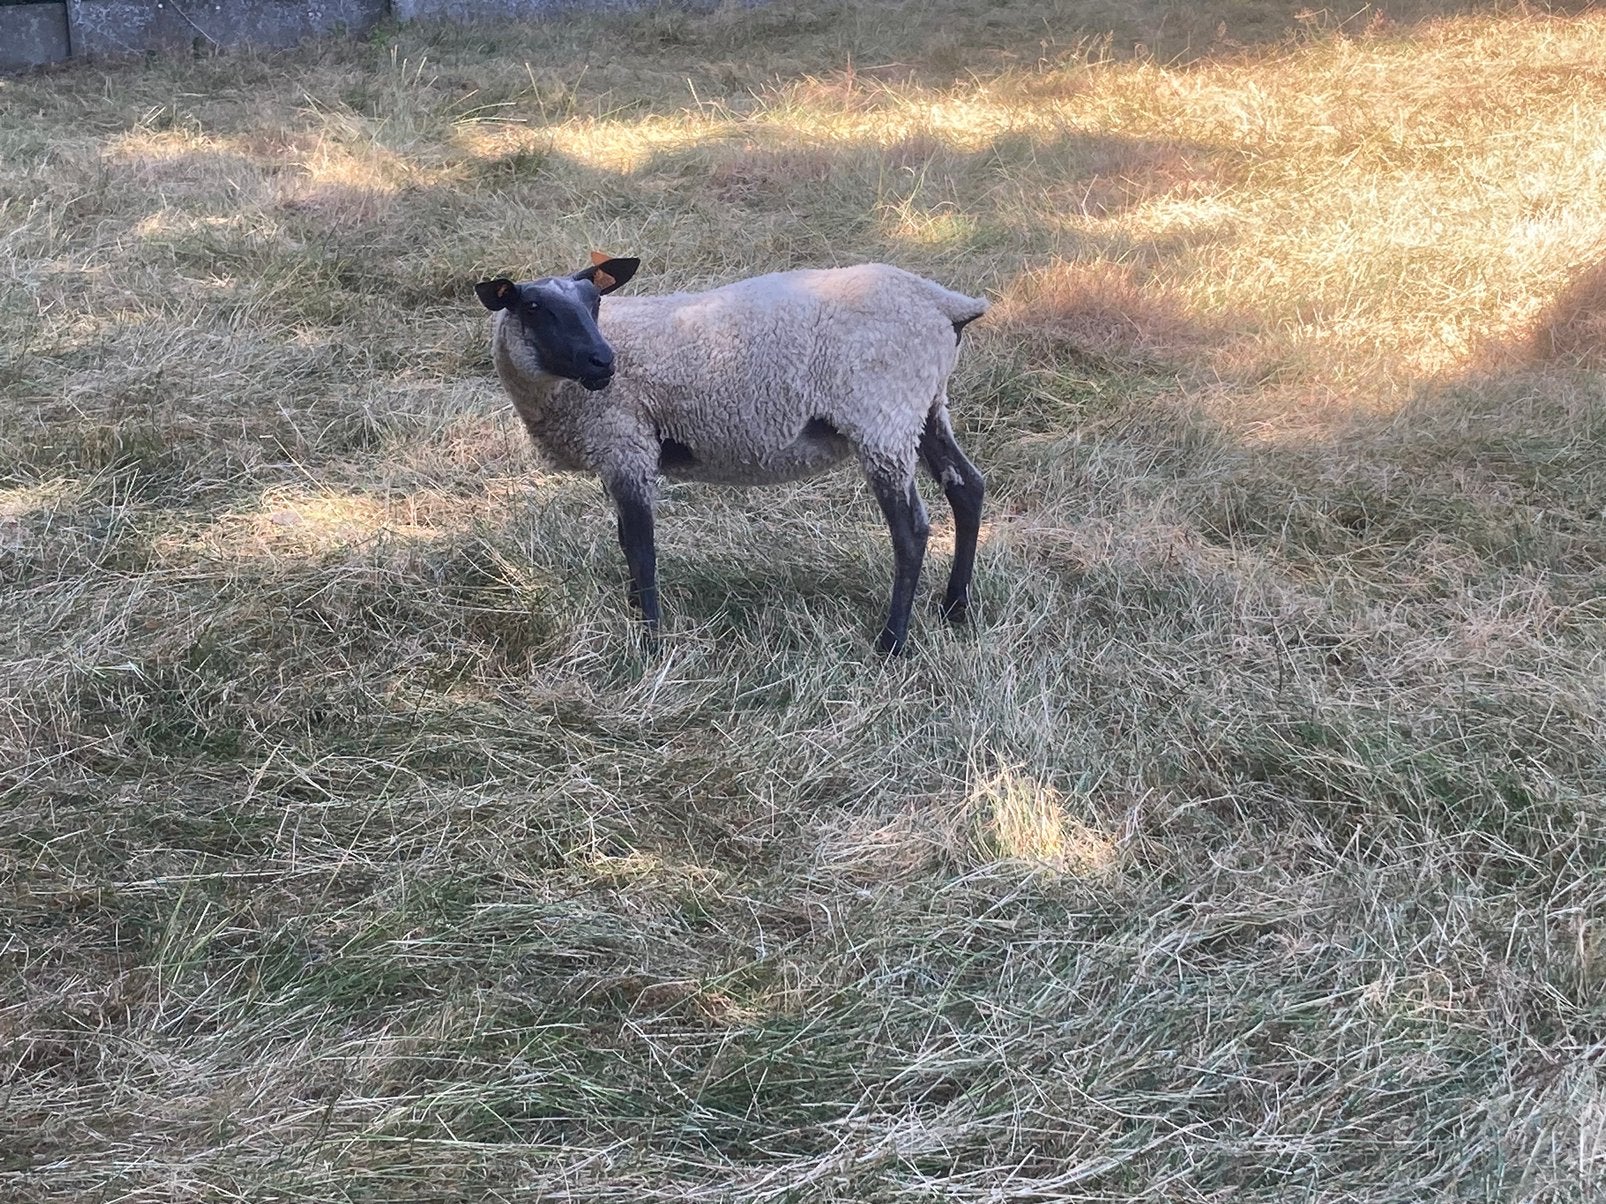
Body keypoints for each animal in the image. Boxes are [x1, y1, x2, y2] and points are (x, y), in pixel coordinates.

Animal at [474, 254, 988, 655]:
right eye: (534, 307)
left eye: (594, 301)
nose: (604, 360)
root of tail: (941, 302)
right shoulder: (616, 453)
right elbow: (624, 540)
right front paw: (634, 609)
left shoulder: (628, 446)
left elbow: (641, 548)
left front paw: (650, 639)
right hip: (926, 407)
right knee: (967, 487)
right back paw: (954, 608)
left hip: (883, 417)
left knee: (911, 530)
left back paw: (892, 641)